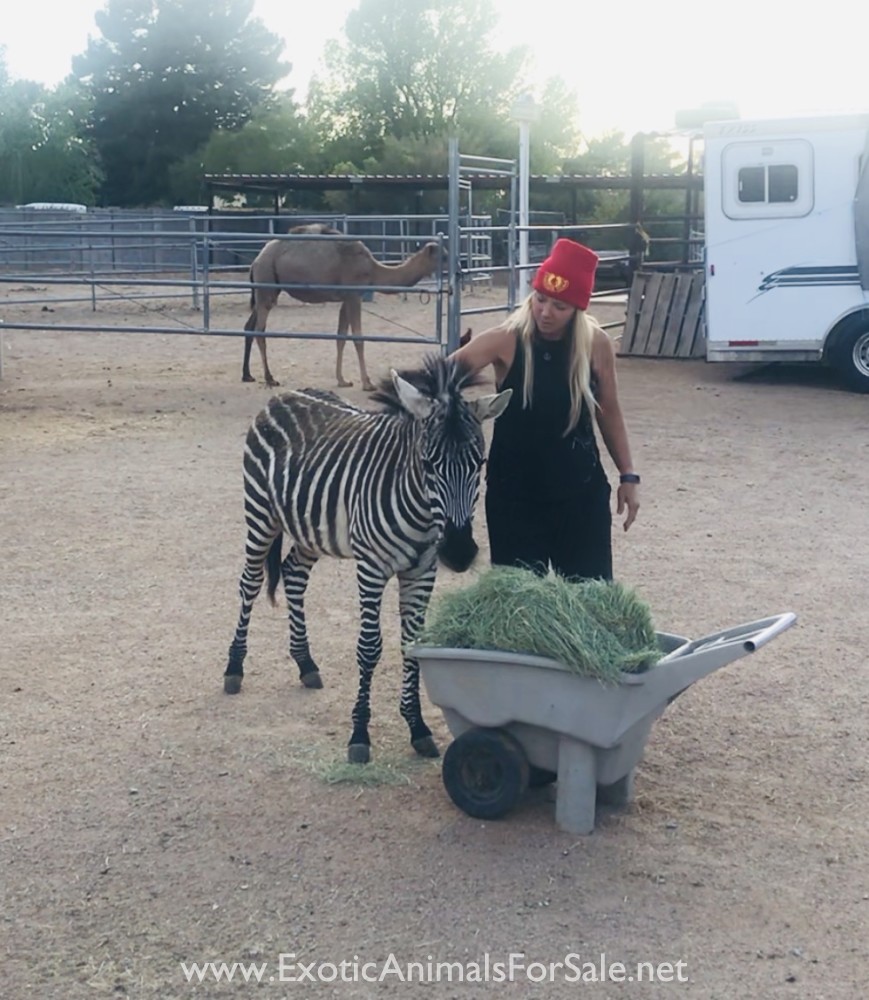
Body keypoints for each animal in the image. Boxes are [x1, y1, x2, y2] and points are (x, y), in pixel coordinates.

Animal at [223, 353, 512, 763]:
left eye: (480, 462)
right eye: (428, 463)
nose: (458, 553)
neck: (422, 514)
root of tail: (283, 394)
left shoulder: (422, 571)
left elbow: (412, 645)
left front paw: (417, 727)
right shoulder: (372, 568)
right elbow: (369, 648)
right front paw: (359, 735)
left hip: (311, 529)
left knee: (293, 573)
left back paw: (305, 663)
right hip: (261, 514)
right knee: (250, 582)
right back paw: (234, 668)